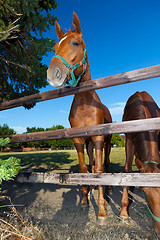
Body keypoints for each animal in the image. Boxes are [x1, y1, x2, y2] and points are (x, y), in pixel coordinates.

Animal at [46, 12, 111, 219]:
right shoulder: (79, 140)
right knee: (91, 162)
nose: (53, 74)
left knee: (105, 163)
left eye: (75, 42)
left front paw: (102, 211)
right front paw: (84, 200)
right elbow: (84, 168)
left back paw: (107, 190)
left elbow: (99, 169)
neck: (84, 106)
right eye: (54, 47)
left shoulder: (98, 138)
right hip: (89, 144)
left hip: (106, 142)